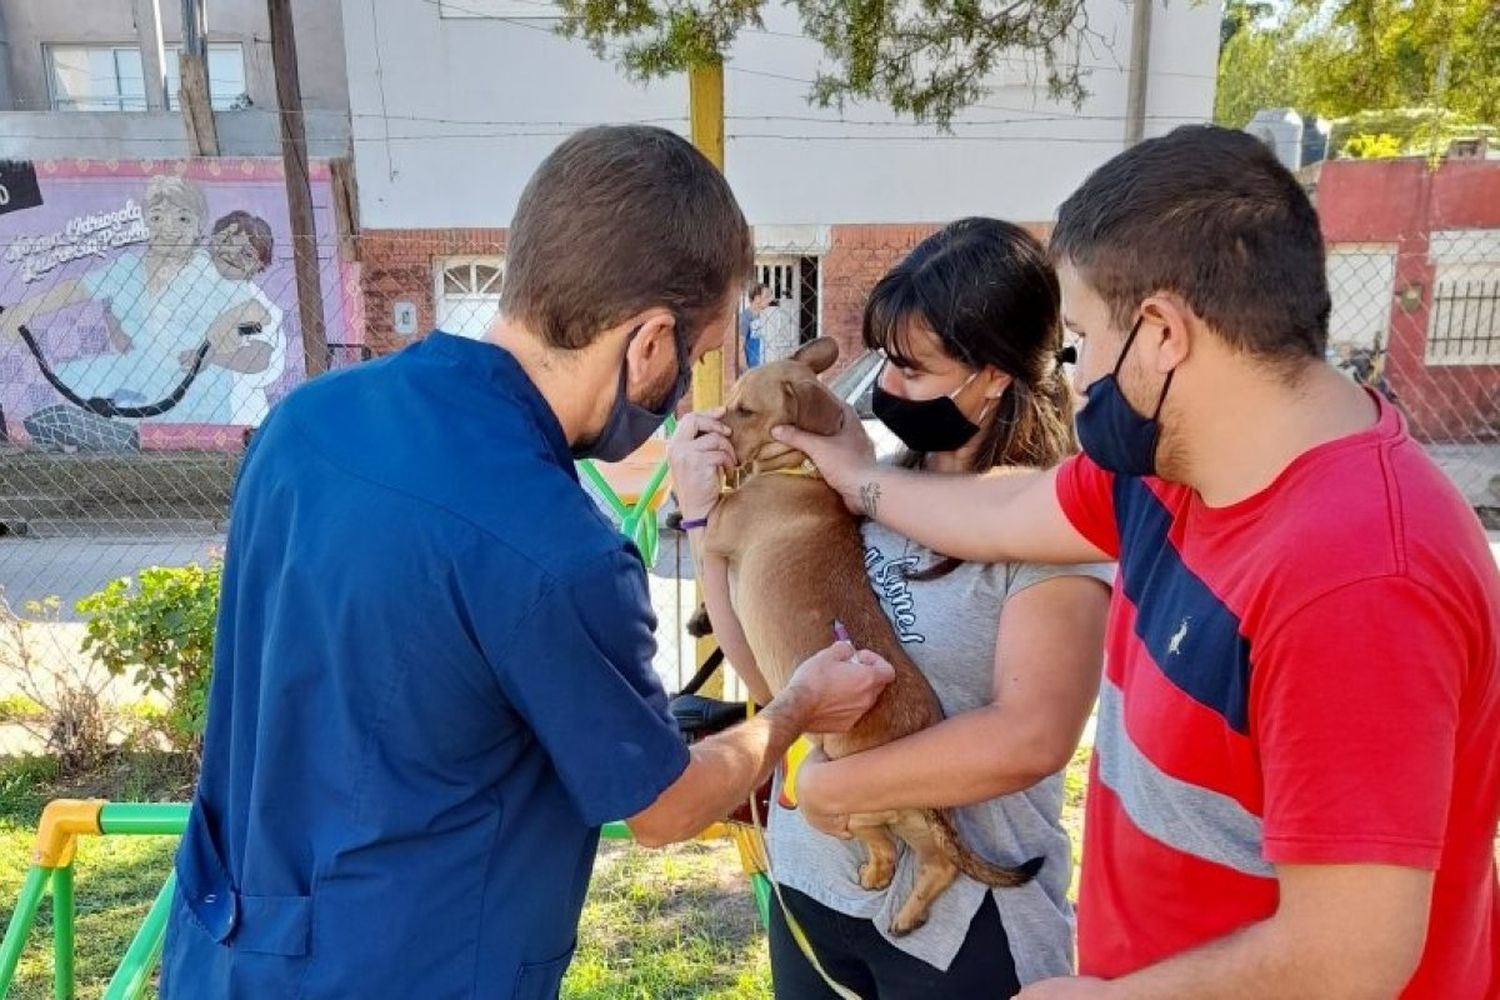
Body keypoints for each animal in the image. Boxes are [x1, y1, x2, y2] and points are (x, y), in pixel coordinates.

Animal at [699, 338, 1032, 941]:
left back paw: (883, 883)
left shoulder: (719, 528)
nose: (712, 428)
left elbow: (711, 504)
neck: (803, 470)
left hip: (841, 794)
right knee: (935, 861)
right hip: (899, 812)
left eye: (745, 411)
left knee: (893, 848)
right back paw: (903, 909)